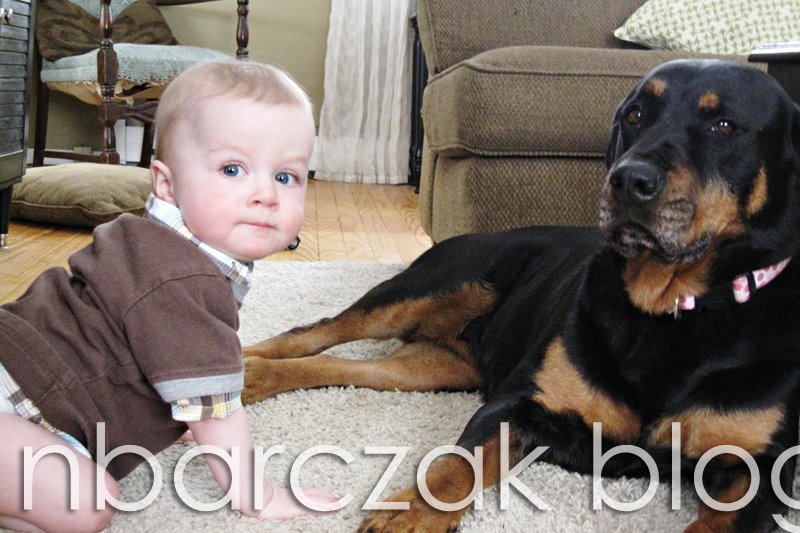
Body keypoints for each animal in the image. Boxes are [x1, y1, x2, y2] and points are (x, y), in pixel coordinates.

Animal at [242, 59, 800, 532]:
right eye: (635, 115)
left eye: (723, 126)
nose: (627, 179)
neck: (666, 308)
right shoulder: (520, 403)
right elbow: (456, 465)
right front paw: (408, 516)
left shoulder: (767, 471)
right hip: (434, 283)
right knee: (315, 333)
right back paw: (244, 366)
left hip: (432, 366)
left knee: (342, 368)